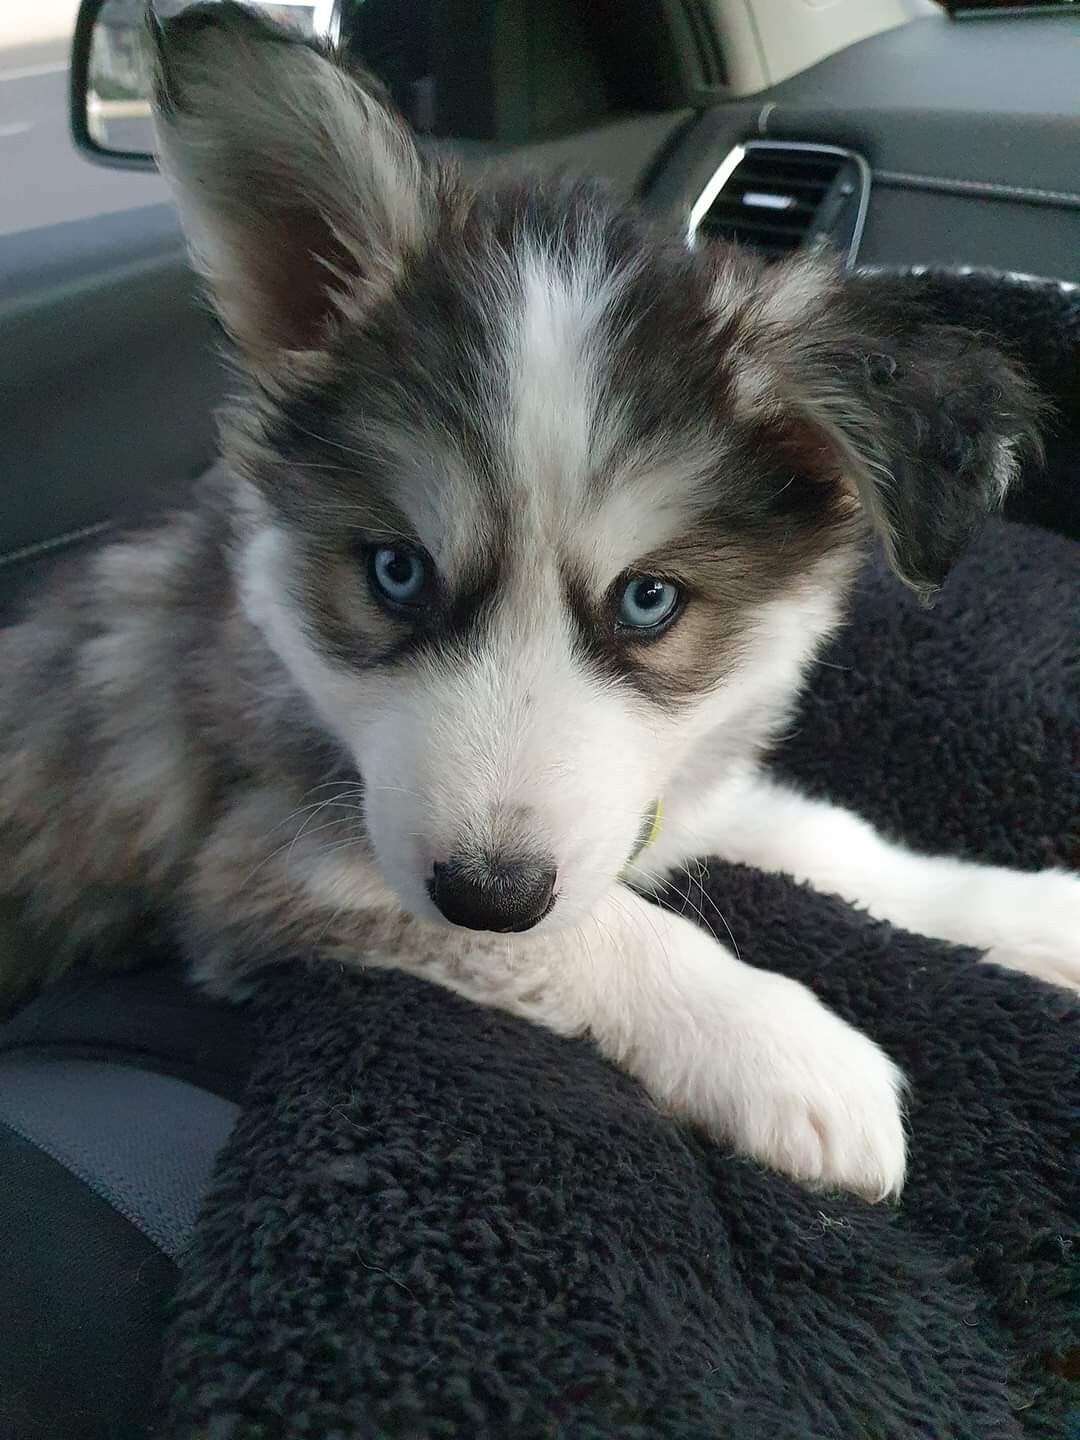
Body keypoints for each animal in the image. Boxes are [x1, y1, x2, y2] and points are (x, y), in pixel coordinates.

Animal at [1, 2, 1077, 1201]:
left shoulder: (654, 784)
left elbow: (829, 837)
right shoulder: (264, 859)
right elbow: (598, 934)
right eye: (396, 572)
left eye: (650, 600)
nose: (490, 893)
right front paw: (786, 1047)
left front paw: (1030, 914)